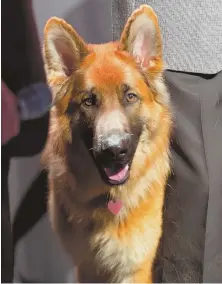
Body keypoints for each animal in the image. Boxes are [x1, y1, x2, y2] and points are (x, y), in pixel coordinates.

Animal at [43, 5, 172, 284]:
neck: (108, 199)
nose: (113, 152)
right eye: (88, 101)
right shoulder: (86, 267)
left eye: (130, 97)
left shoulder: (134, 268)